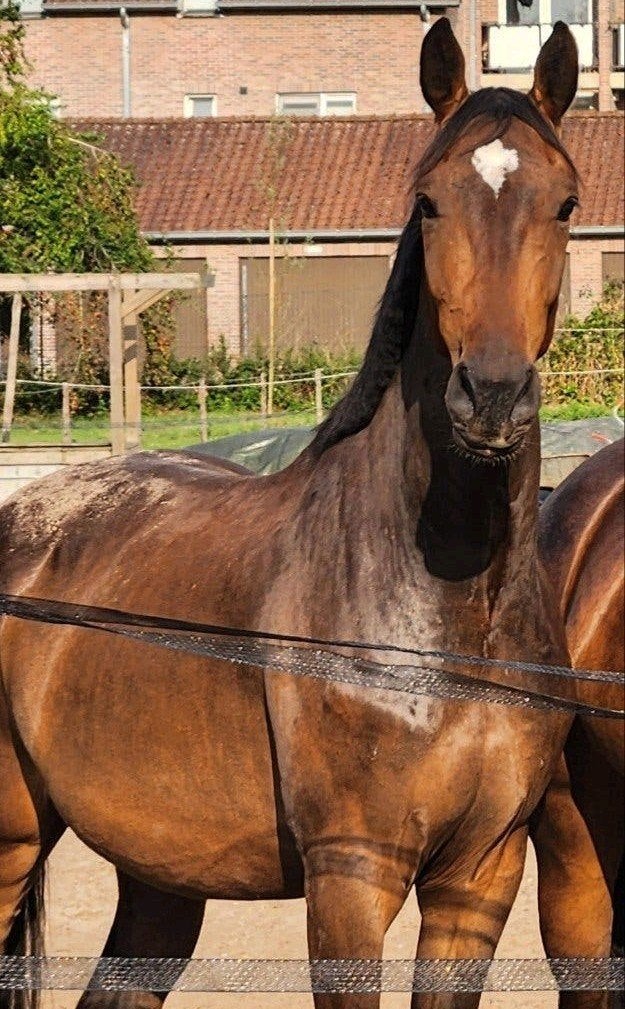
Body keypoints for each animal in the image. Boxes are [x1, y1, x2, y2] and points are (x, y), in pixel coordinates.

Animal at [0, 20, 582, 1009]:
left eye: (566, 204)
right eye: (428, 201)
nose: (492, 398)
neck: (440, 612)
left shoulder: (481, 876)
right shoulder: (350, 876)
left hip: (160, 874)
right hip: (11, 842)